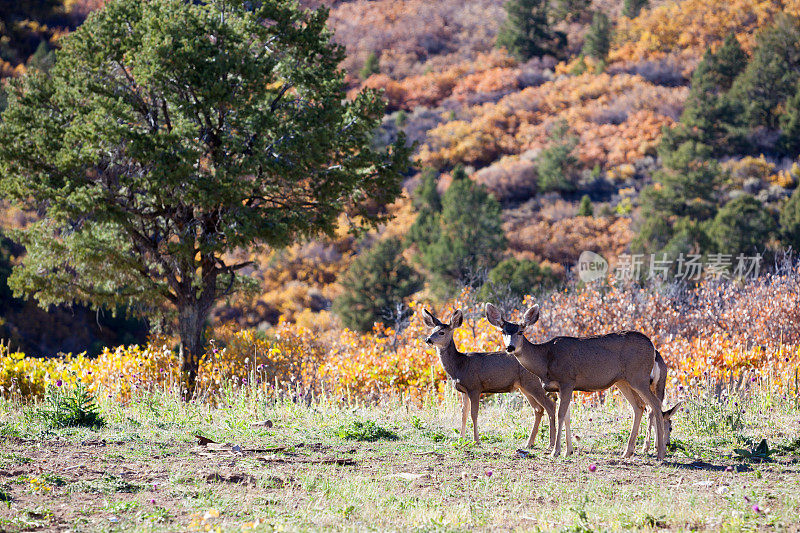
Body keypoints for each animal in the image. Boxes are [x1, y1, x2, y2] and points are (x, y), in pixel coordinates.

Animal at [422, 308, 564, 448]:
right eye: (432, 331)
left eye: (441, 332)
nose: (428, 339)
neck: (460, 365)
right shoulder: (464, 390)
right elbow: (463, 413)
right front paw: (461, 439)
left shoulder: (474, 387)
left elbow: (474, 413)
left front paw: (476, 441)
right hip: (524, 387)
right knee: (538, 409)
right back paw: (529, 443)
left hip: (532, 384)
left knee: (550, 405)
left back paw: (551, 443)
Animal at [488, 302, 668, 460]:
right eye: (503, 331)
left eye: (520, 331)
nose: (510, 347)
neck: (545, 359)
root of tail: (653, 347)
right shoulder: (561, 387)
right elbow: (567, 416)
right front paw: (568, 451)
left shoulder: (567, 380)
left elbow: (560, 414)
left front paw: (555, 451)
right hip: (622, 381)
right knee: (639, 406)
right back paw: (628, 452)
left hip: (639, 376)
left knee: (655, 405)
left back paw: (660, 453)